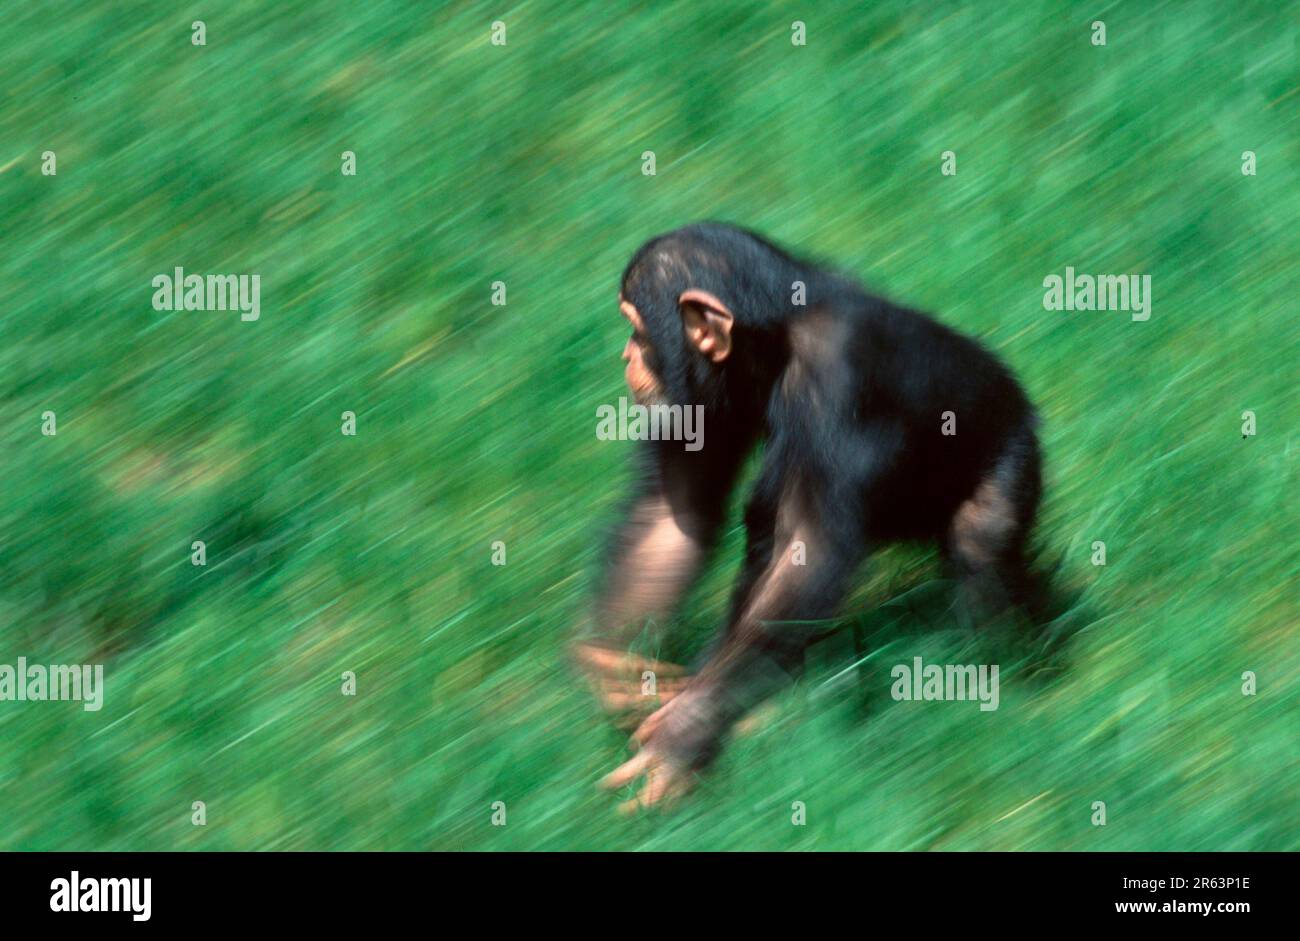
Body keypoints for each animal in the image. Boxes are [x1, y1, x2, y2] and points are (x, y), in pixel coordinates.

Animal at [574, 220, 1040, 811]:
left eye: (637, 329)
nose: (626, 357)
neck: (775, 341)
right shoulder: (697, 400)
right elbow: (674, 513)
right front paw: (608, 665)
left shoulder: (839, 377)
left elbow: (810, 550)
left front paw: (683, 735)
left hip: (1011, 448)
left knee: (984, 542)